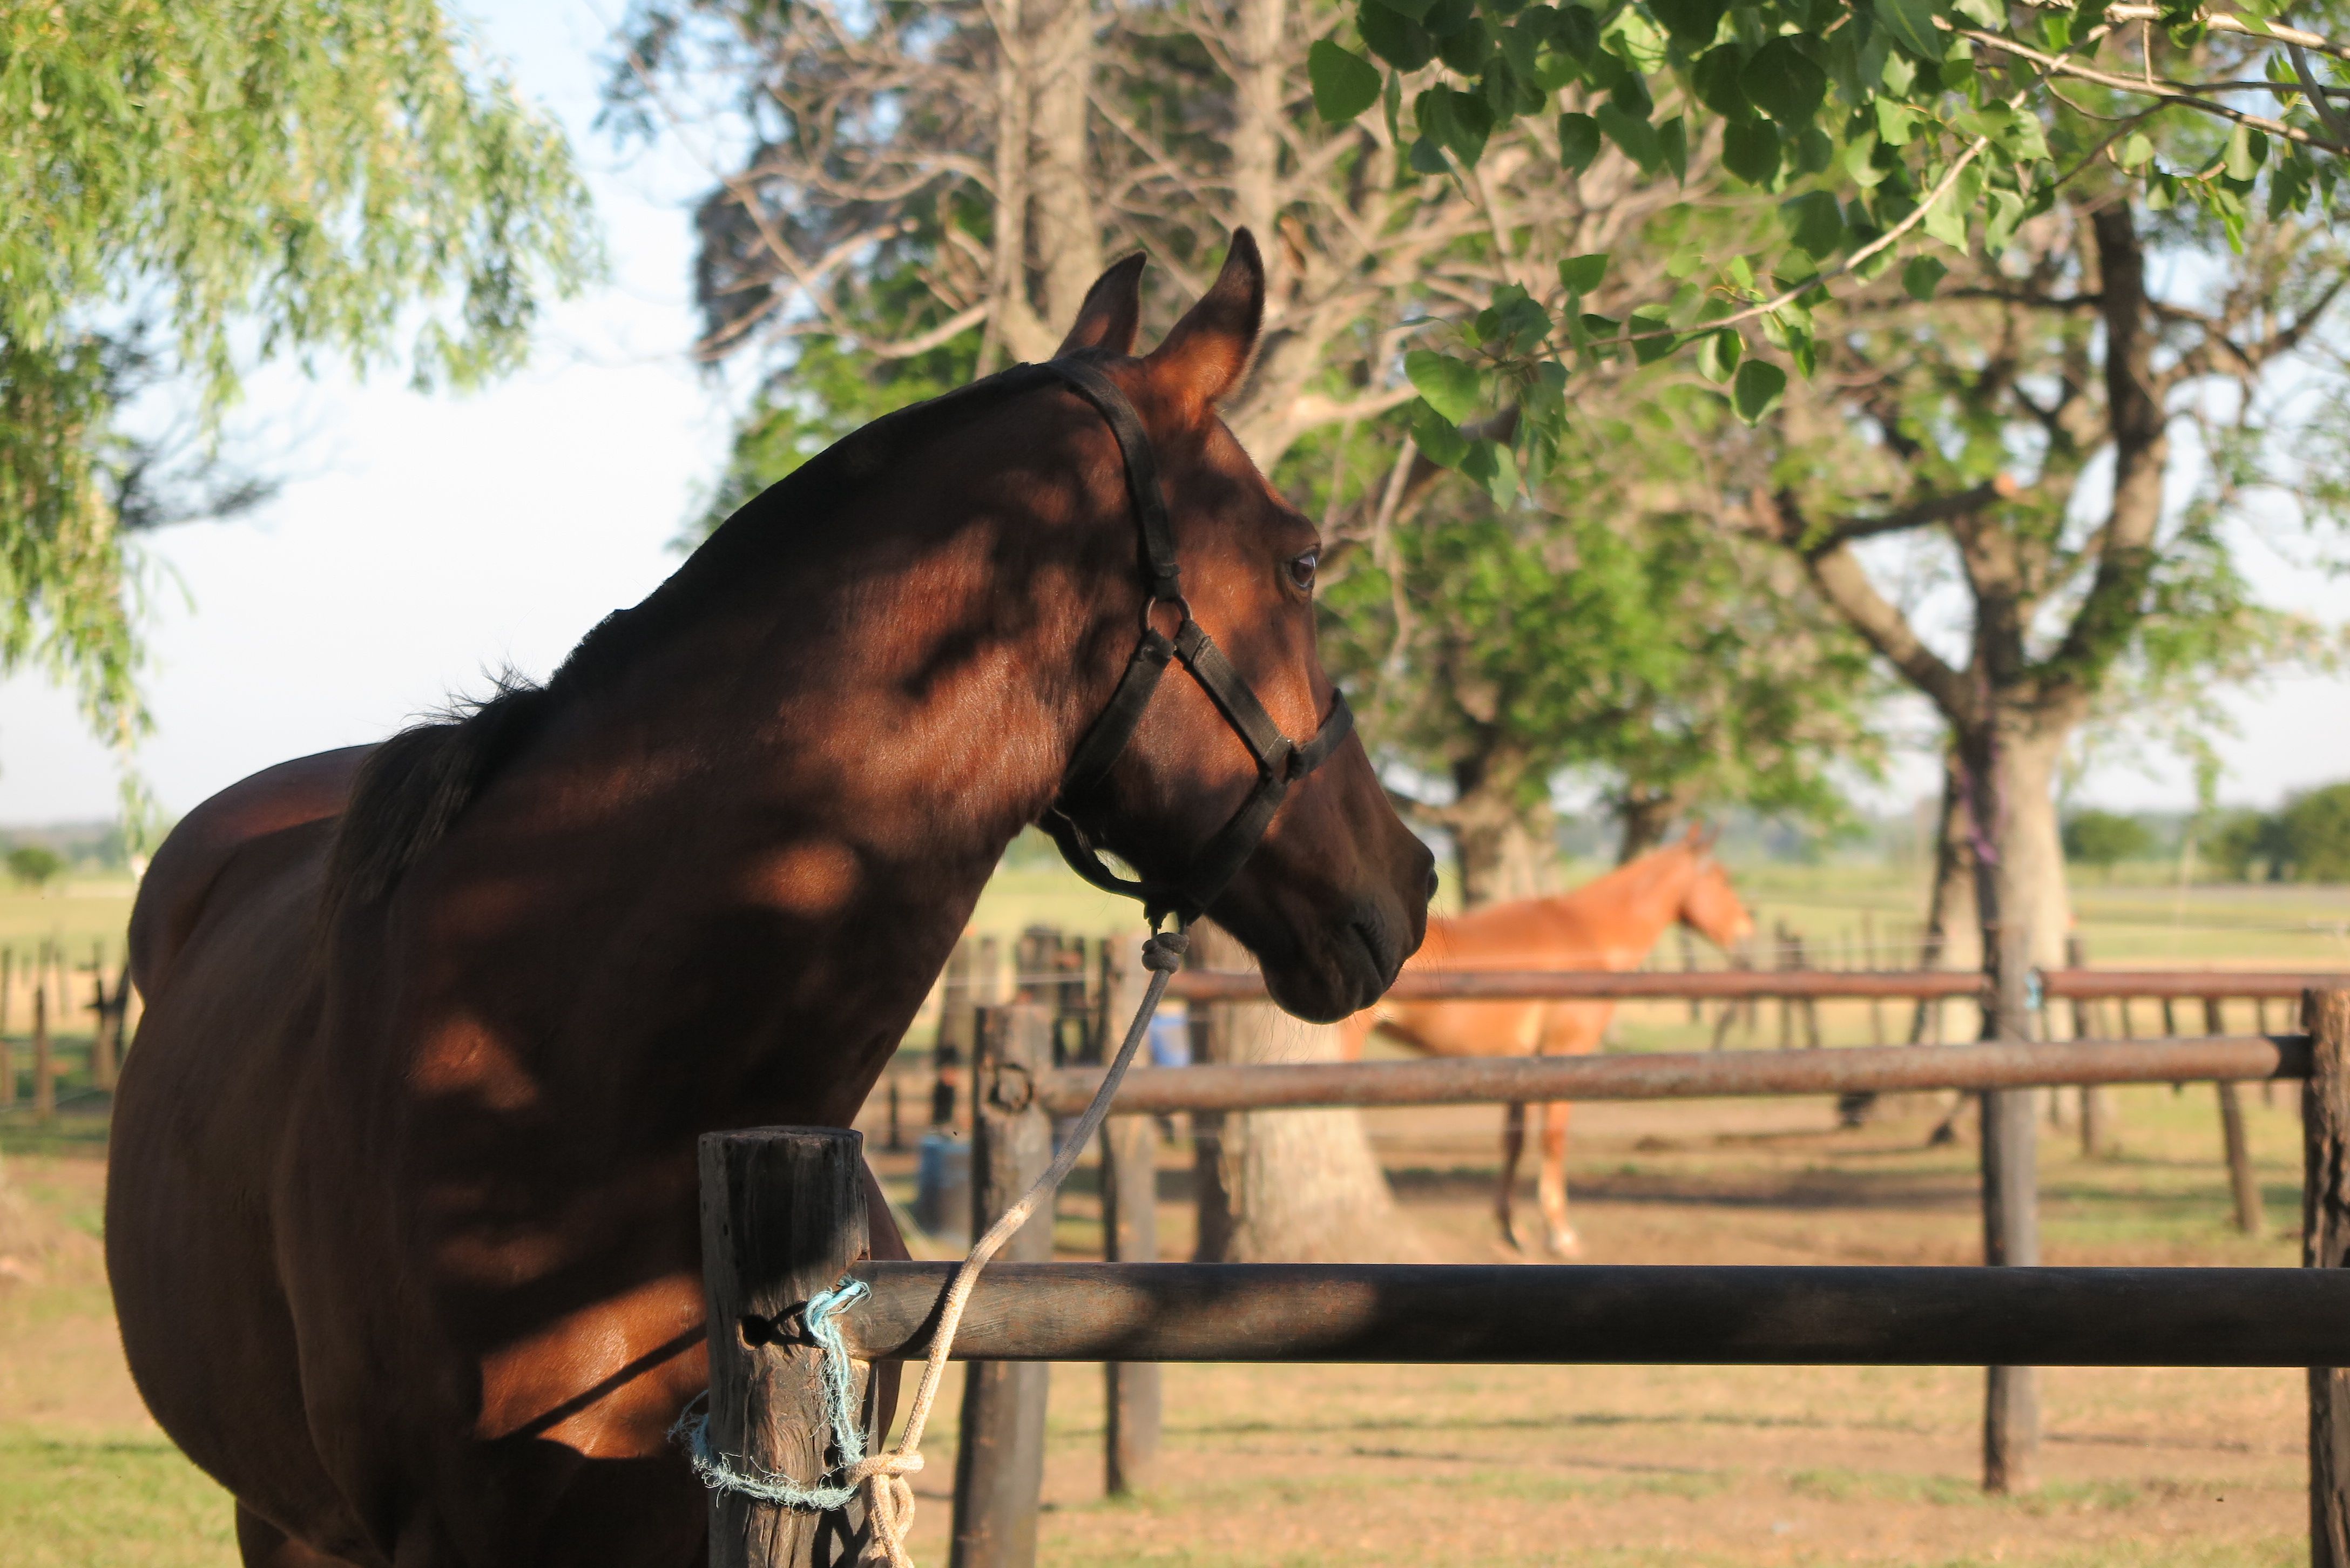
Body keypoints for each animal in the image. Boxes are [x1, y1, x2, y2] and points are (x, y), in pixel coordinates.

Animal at [1340, 829, 1752, 1258]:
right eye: (1721, 880)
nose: (1745, 930)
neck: (1586, 933)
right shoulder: (1563, 1052)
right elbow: (1554, 1137)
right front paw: (1559, 1232)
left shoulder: (1520, 1061)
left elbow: (1514, 1141)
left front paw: (1511, 1229)